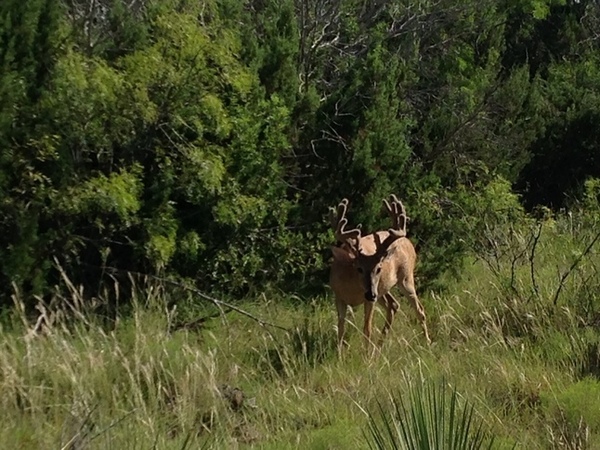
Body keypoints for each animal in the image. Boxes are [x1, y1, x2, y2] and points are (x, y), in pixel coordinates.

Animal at [328, 195, 432, 354]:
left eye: (379, 268)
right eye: (359, 268)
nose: (370, 294)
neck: (352, 288)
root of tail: (407, 241)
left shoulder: (370, 300)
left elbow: (367, 328)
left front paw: (366, 355)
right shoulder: (338, 296)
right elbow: (341, 328)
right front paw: (340, 354)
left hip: (405, 278)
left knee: (419, 309)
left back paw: (427, 342)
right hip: (382, 290)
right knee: (394, 305)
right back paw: (379, 346)